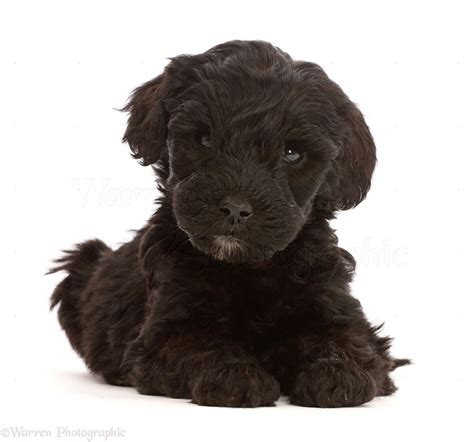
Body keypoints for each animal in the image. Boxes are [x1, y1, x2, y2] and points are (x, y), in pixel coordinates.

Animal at [51, 41, 408, 408]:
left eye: (292, 154)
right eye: (205, 139)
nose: (236, 207)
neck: (249, 267)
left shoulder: (331, 297)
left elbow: (349, 339)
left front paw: (340, 373)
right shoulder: (166, 327)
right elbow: (199, 343)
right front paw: (236, 376)